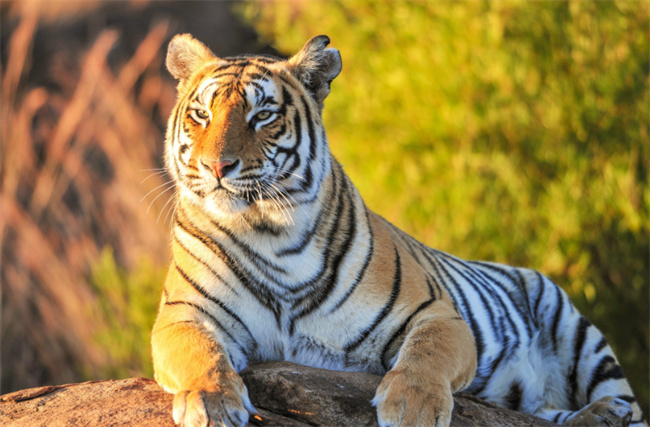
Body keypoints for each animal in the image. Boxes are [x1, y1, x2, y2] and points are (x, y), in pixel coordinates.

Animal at [152, 34, 644, 427]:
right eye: (201, 115)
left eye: (262, 116)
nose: (216, 166)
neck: (269, 233)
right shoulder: (183, 314)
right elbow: (200, 354)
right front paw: (211, 403)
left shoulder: (437, 313)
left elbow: (425, 355)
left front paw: (413, 409)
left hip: (578, 334)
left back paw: (610, 412)